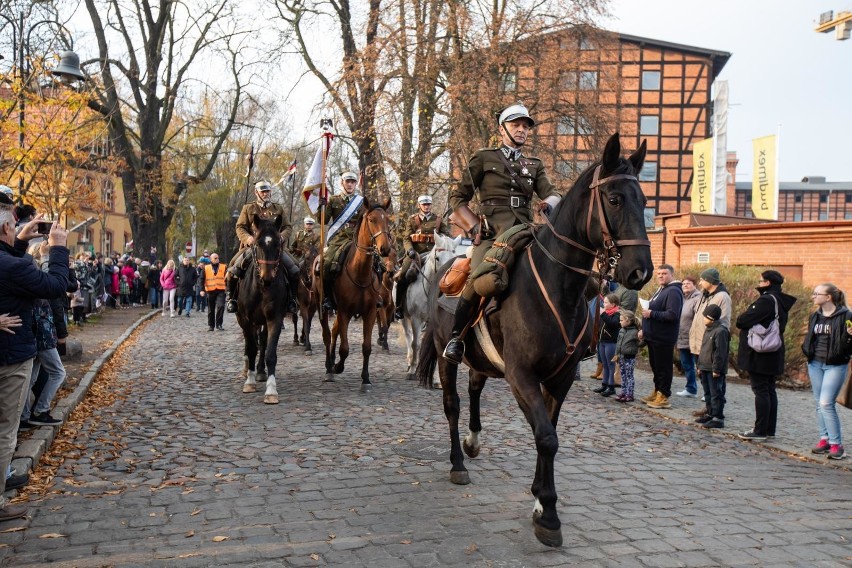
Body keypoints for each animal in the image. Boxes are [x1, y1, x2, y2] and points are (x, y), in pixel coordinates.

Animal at [320, 199, 392, 390]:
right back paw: (329, 368)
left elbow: (366, 347)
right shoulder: (345, 311)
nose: (384, 249)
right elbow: (344, 348)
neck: (359, 271)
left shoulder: (370, 313)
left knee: (335, 330)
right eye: (372, 220)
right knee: (328, 335)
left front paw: (365, 379)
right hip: (324, 309)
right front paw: (338, 367)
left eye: (387, 220)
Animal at [402, 233, 462, 384]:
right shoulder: (416, 319)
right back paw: (410, 362)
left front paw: (436, 379)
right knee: (409, 337)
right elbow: (416, 344)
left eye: (454, 257)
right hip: (404, 317)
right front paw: (412, 370)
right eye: (437, 258)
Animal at [418, 133, 652, 544]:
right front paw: (549, 514)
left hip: (483, 358)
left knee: (475, 388)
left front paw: (540, 499)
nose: (641, 271)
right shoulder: (522, 376)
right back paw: (458, 462)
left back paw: (473, 441)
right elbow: (546, 437)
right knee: (453, 404)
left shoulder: (560, 378)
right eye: (614, 199)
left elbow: (551, 434)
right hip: (447, 357)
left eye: (644, 201)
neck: (559, 288)